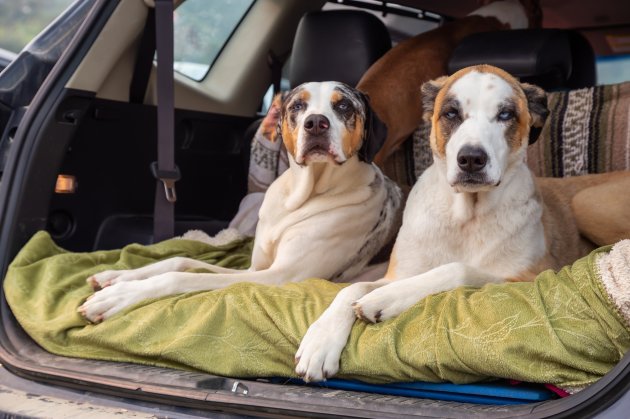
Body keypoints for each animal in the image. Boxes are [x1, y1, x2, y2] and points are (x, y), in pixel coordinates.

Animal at [79, 82, 402, 324]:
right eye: (298, 106)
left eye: (344, 106)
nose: (316, 123)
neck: (302, 198)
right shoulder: (254, 270)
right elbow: (180, 261)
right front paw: (117, 276)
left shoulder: (280, 277)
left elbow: (179, 276)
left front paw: (117, 296)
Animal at [296, 65, 630, 384]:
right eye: (451, 113)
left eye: (506, 114)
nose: (471, 158)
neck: (467, 216)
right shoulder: (397, 274)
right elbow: (351, 289)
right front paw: (321, 339)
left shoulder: (527, 279)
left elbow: (457, 268)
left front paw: (385, 299)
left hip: (586, 202)